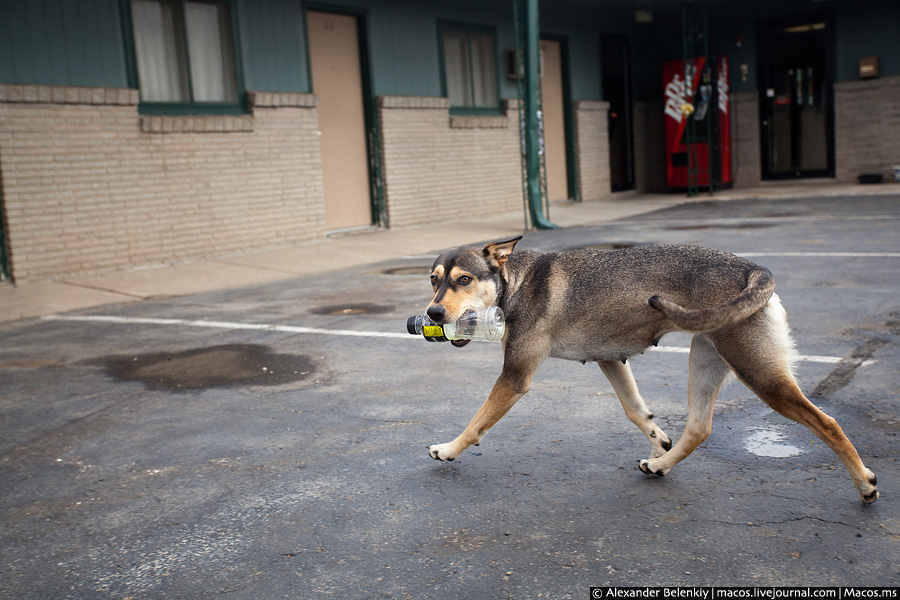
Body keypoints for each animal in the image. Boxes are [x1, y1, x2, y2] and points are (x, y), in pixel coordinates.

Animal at [422, 237, 880, 504]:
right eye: (433, 279)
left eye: (463, 279)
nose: (432, 313)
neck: (515, 281)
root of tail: (754, 269)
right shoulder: (611, 360)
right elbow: (635, 409)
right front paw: (658, 441)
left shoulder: (515, 378)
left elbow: (476, 423)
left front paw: (449, 449)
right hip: (705, 360)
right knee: (699, 428)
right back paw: (662, 466)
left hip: (763, 377)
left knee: (828, 423)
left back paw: (864, 484)